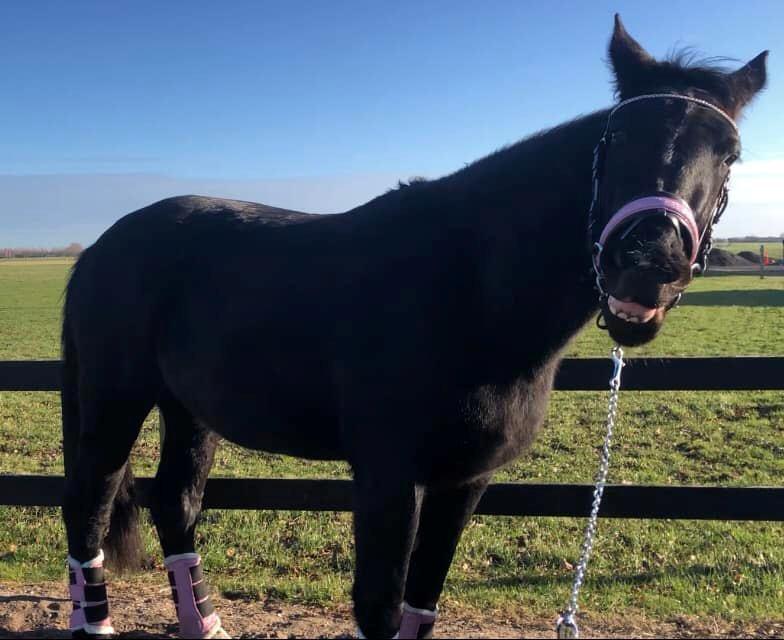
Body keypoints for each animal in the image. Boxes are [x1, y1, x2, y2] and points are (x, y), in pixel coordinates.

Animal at [59, 17, 764, 636]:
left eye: (730, 155)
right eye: (615, 138)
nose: (648, 265)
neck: (471, 292)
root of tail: (101, 247)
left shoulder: (464, 481)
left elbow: (421, 605)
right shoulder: (388, 477)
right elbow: (379, 608)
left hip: (189, 409)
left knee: (174, 501)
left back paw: (203, 623)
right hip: (112, 401)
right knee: (88, 506)